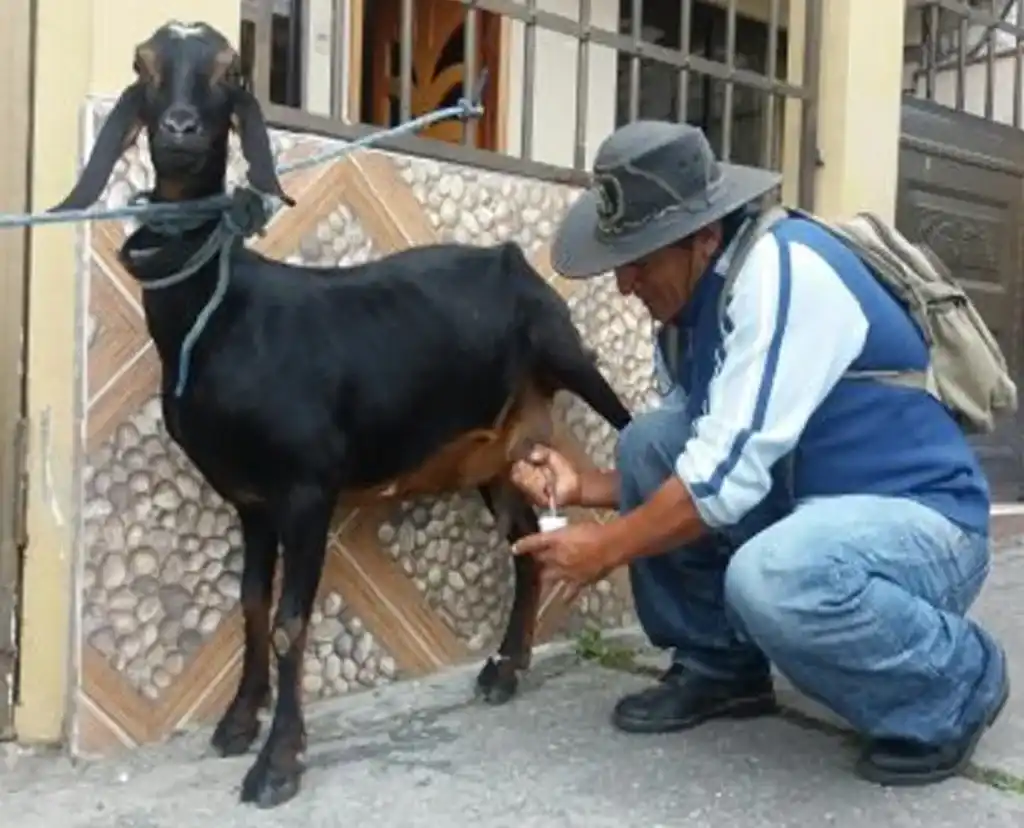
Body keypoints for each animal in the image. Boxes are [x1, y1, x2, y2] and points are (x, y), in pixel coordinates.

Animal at [56, 19, 630, 806]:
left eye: (230, 72)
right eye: (144, 66)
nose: (178, 129)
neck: (222, 315)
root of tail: (513, 260)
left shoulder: (307, 487)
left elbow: (293, 621)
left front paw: (278, 761)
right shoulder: (250, 498)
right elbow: (252, 603)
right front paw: (239, 721)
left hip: (570, 357)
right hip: (495, 449)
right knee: (524, 542)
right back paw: (503, 670)